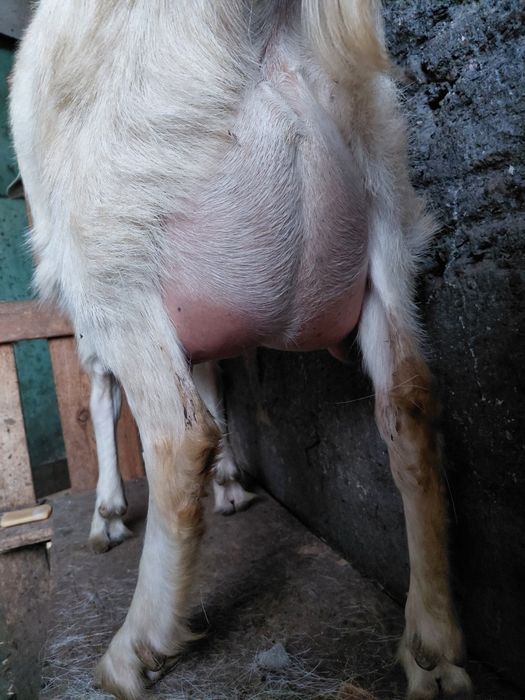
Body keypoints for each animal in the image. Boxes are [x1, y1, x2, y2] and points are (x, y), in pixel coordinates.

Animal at [9, 1, 473, 698]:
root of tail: (261, 18)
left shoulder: (95, 315)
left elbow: (101, 396)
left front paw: (108, 513)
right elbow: (214, 374)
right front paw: (230, 482)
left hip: (112, 241)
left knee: (178, 438)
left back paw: (134, 648)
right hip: (385, 204)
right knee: (409, 401)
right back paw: (433, 642)